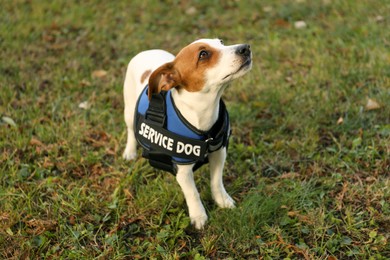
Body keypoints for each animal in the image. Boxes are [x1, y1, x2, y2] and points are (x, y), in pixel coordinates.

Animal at [123, 37, 254, 229]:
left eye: (221, 42)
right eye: (203, 54)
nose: (245, 48)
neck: (202, 113)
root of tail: (147, 51)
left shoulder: (219, 153)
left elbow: (216, 181)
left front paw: (222, 201)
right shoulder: (183, 170)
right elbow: (192, 193)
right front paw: (199, 216)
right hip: (128, 109)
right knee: (131, 131)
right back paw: (130, 152)